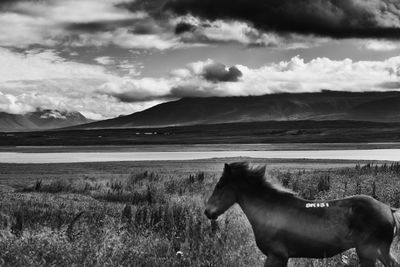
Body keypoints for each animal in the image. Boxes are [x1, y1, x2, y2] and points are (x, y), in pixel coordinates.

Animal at [205, 162, 400, 267]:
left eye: (220, 185)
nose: (208, 212)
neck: (269, 211)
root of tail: (389, 209)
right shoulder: (281, 258)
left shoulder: (276, 255)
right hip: (378, 252)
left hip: (368, 252)